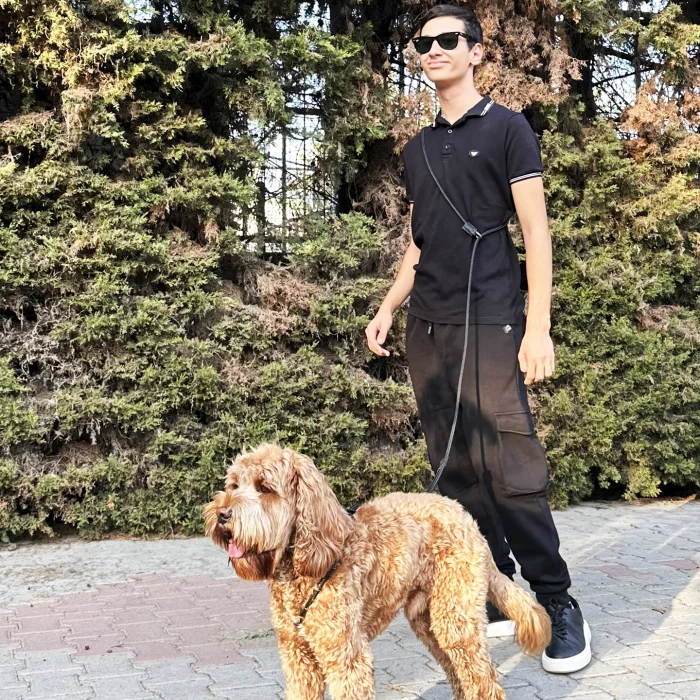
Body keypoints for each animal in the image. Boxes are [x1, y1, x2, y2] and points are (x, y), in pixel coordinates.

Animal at [204, 443, 551, 700]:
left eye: (265, 488)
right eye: (234, 484)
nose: (222, 514)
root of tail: (466, 516)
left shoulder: (346, 657)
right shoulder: (297, 656)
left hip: (456, 619)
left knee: (483, 680)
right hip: (429, 620)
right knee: (459, 674)